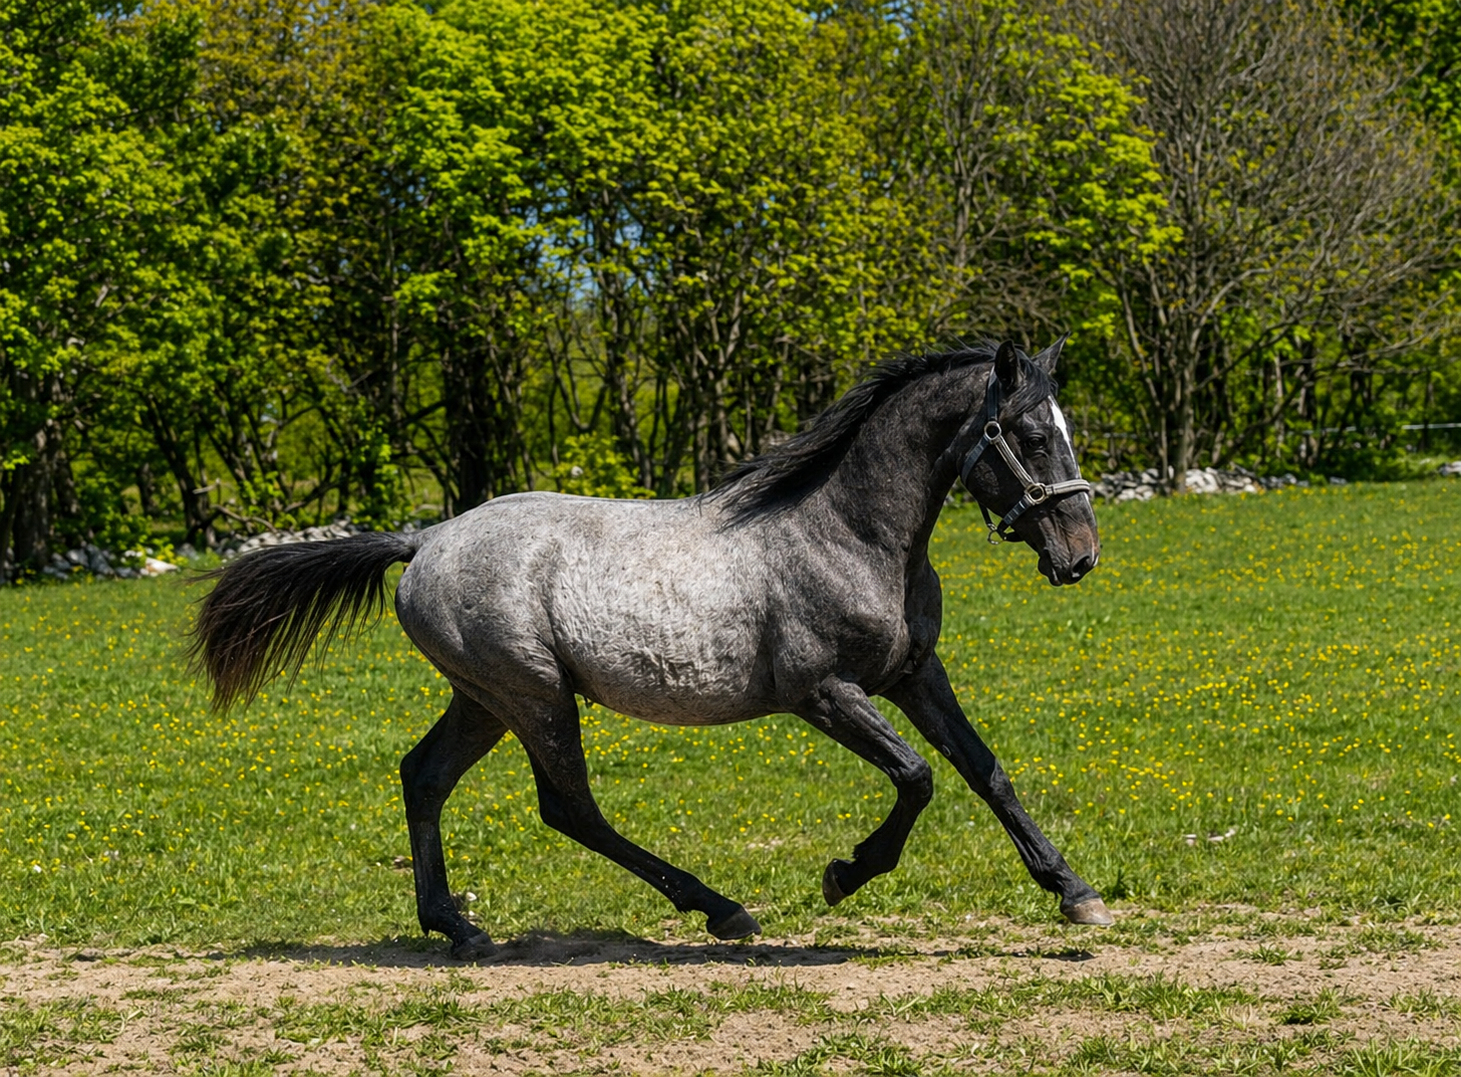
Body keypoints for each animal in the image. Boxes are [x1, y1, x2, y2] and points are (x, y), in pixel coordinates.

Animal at [190, 338, 1110, 959]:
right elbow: (916, 777)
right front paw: (843, 874)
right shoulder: (820, 692)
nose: (1079, 557)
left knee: (424, 776)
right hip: (534, 695)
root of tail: (423, 541)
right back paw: (721, 909)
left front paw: (1075, 892)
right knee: (568, 807)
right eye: (1028, 434)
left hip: (483, 699)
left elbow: (984, 770)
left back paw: (457, 926)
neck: (850, 535)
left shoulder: (916, 675)